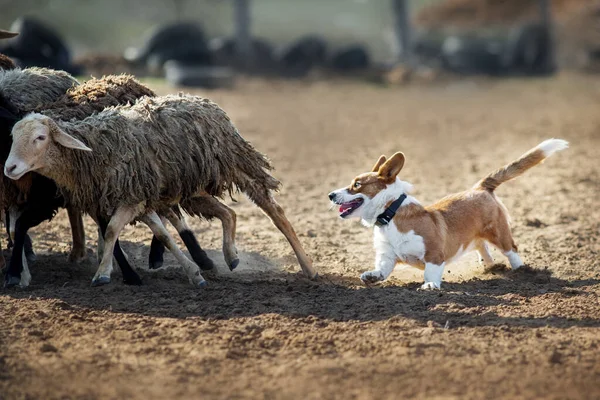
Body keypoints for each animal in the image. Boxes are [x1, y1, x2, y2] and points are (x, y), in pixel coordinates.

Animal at [4, 94, 318, 288]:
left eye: (40, 137)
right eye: (12, 137)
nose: (9, 168)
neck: (94, 150)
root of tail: (203, 101)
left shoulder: (132, 196)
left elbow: (112, 229)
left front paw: (103, 274)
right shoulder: (139, 199)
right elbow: (162, 234)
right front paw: (193, 271)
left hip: (236, 164)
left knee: (273, 210)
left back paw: (308, 267)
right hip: (190, 189)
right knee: (229, 213)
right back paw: (230, 255)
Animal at [328, 139, 568, 290]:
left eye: (356, 185)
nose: (330, 195)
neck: (391, 214)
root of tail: (480, 187)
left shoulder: (434, 254)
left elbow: (431, 272)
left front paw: (430, 286)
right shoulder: (387, 256)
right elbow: (382, 270)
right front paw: (371, 276)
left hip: (499, 234)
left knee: (512, 250)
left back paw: (521, 271)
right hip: (478, 236)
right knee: (482, 246)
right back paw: (490, 267)